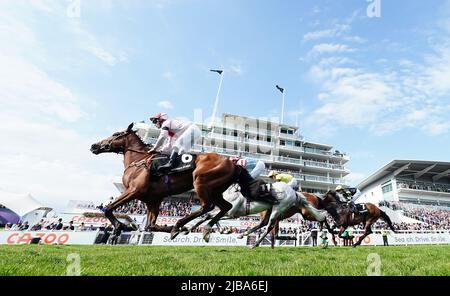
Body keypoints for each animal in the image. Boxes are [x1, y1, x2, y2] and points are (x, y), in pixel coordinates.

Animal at [90, 122, 248, 240]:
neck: (139, 160)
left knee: (207, 206)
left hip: (201, 182)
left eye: (116, 134)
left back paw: (181, 224)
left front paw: (121, 226)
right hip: (215, 190)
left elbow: (108, 208)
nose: (94, 146)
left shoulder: (134, 190)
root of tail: (233, 163)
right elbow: (150, 226)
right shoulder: (153, 200)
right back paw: (204, 228)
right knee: (226, 206)